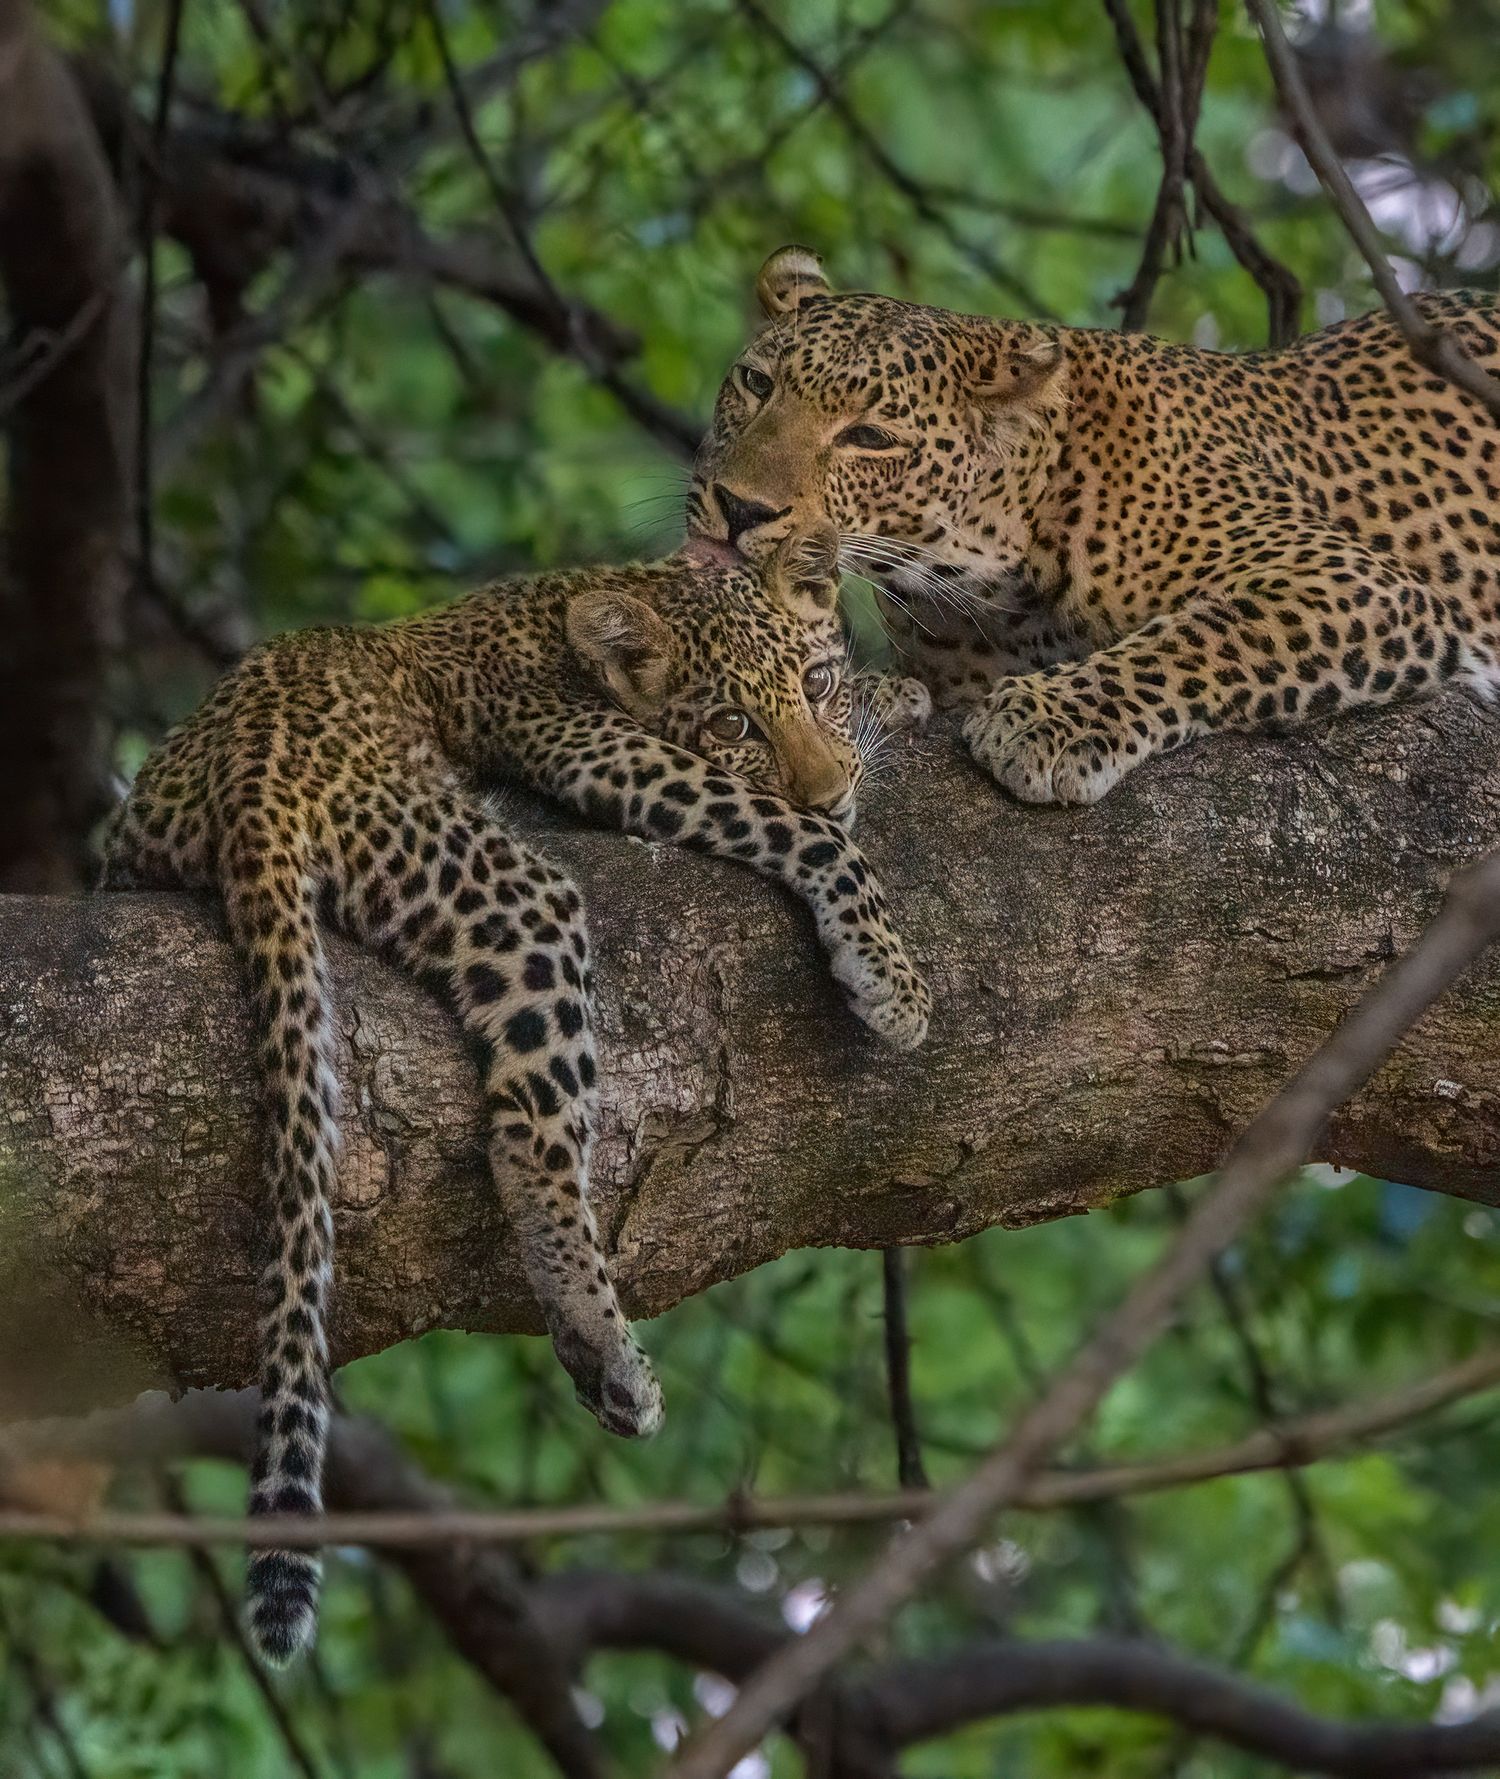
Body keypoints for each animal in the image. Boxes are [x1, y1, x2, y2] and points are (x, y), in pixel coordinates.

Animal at [99, 527, 929, 1665]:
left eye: (815, 683)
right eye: (731, 726)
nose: (829, 783)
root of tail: (248, 784)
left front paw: (895, 699)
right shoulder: (612, 753)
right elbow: (803, 837)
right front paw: (887, 971)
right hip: (509, 892)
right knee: (528, 1139)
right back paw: (604, 1346)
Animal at [688, 245, 1500, 805]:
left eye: (871, 439)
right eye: (756, 383)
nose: (740, 507)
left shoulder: (1347, 576)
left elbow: (1199, 638)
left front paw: (1048, 722)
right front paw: (871, 695)